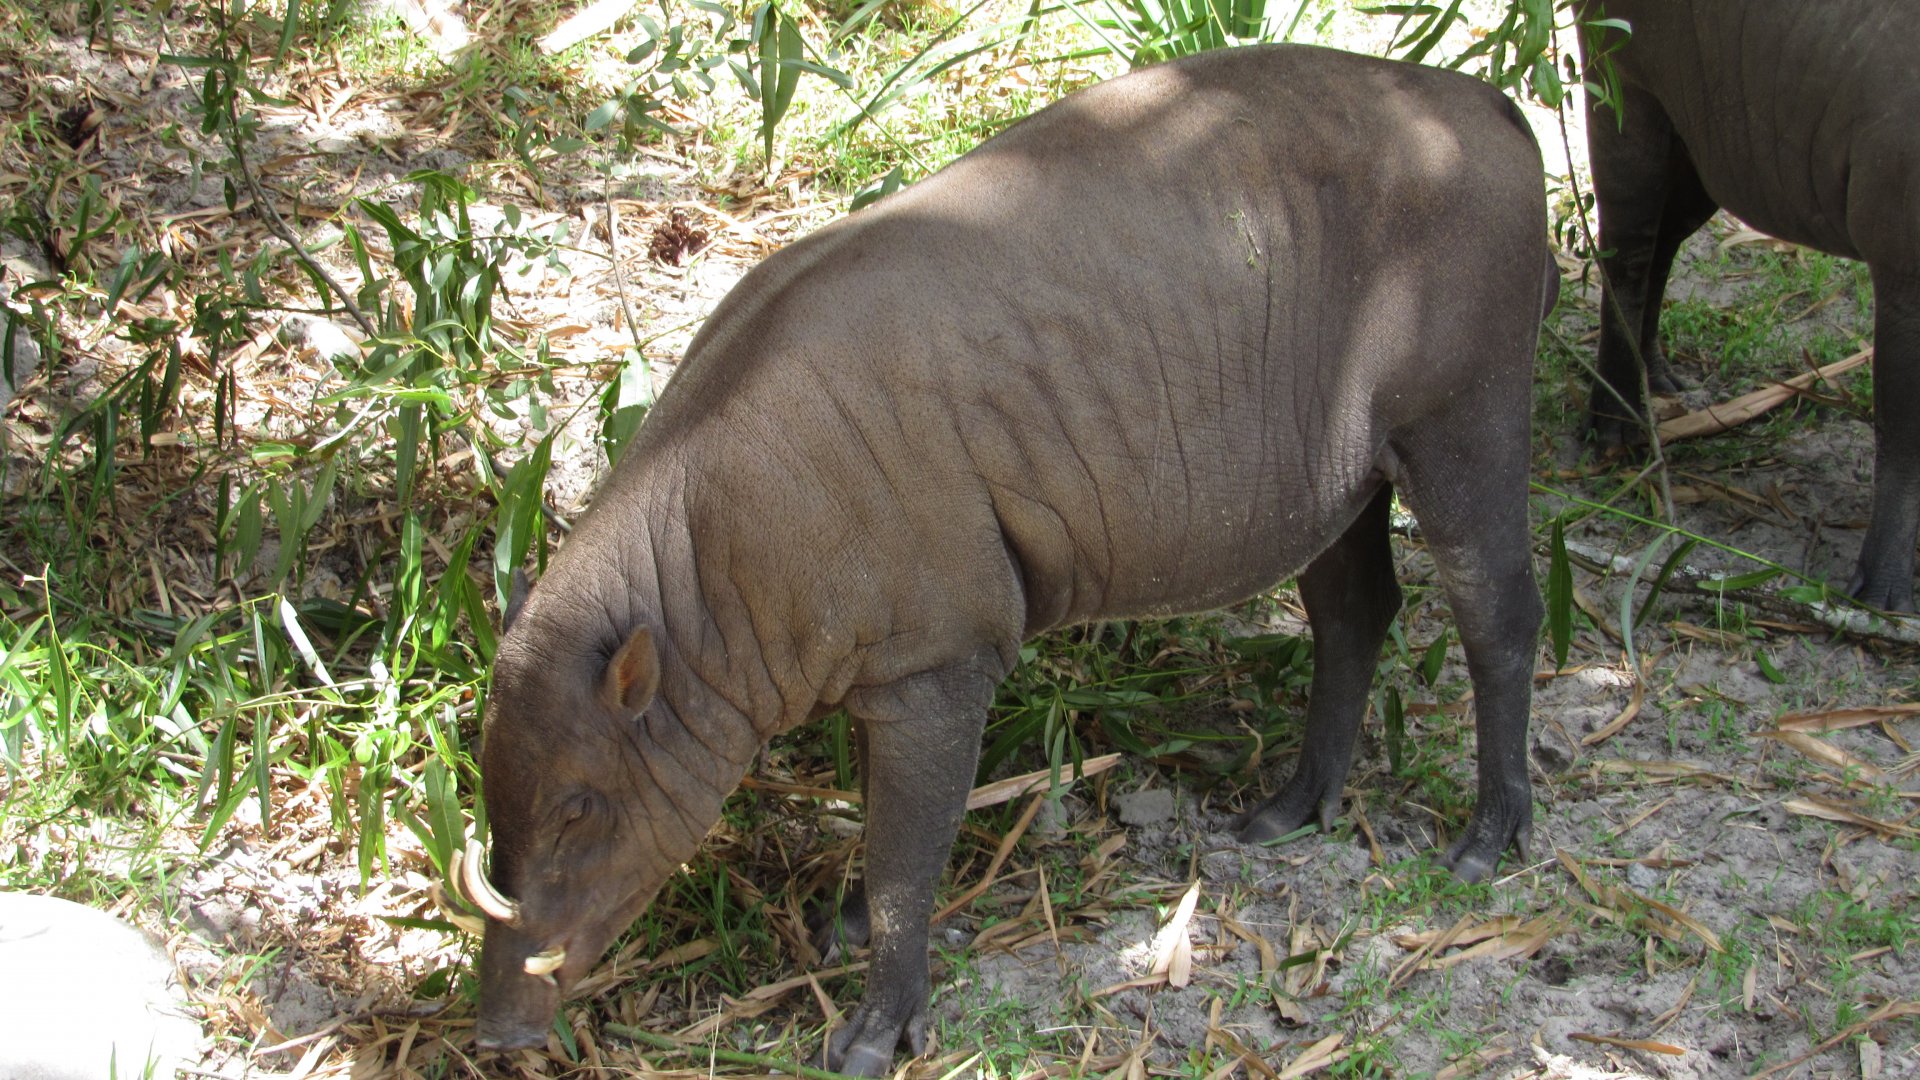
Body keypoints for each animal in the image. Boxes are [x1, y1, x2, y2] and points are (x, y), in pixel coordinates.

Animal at [466, 43, 1553, 1075]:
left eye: (579, 807)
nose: (497, 1032)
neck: (709, 573)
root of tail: (1494, 109)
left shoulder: (940, 660)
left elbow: (904, 857)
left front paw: (872, 1034)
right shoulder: (885, 658)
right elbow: (882, 817)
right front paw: (843, 926)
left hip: (1468, 406)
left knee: (1497, 609)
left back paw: (1489, 838)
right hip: (1340, 473)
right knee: (1354, 606)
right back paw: (1289, 810)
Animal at [1579, 0, 1920, 609]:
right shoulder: (1900, 257)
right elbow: (1903, 428)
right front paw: (1884, 599)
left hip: (1710, 137)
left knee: (1665, 240)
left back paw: (1659, 380)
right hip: (1626, 76)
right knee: (1631, 249)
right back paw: (1614, 430)